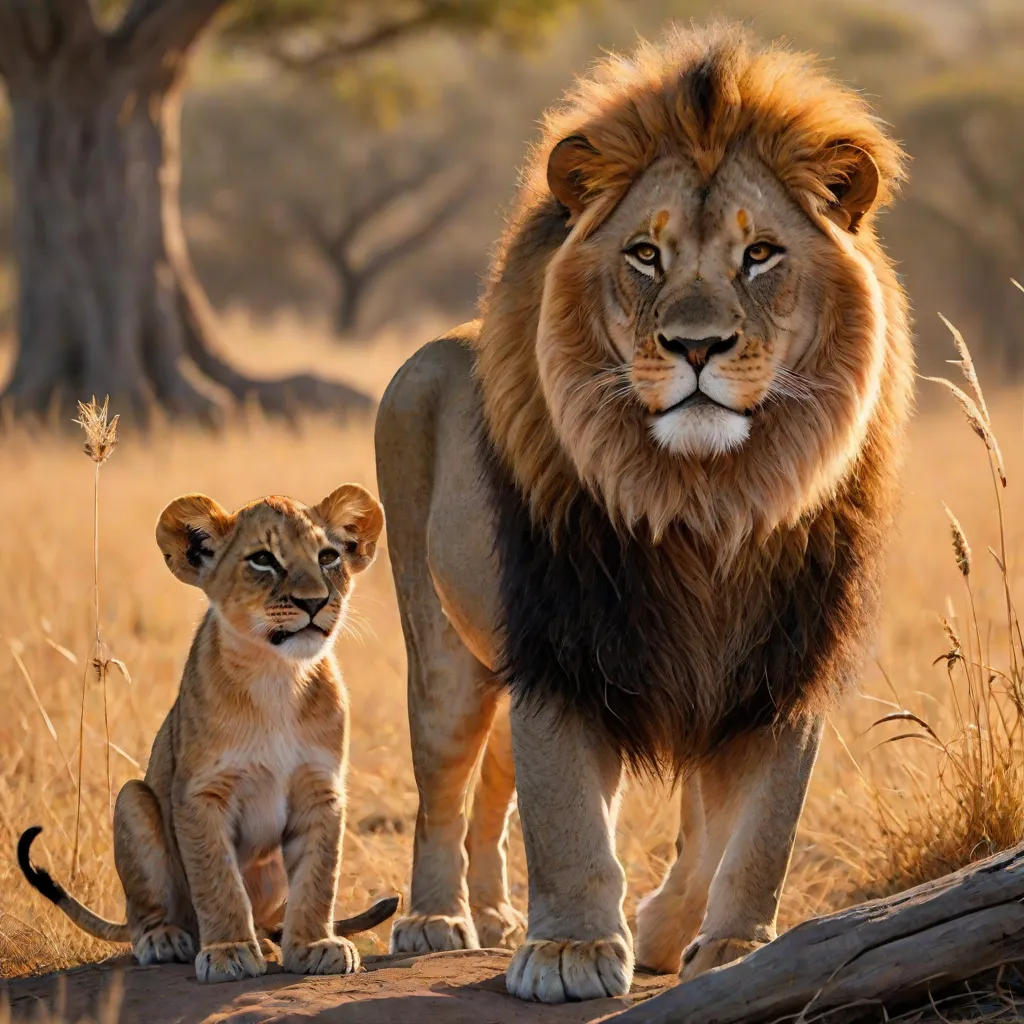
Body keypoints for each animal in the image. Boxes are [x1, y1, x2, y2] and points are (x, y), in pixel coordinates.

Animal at [18, 485, 397, 983]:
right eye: (263, 560)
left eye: (329, 556)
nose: (315, 601)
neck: (277, 676)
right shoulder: (200, 793)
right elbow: (218, 881)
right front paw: (229, 951)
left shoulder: (321, 789)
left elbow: (318, 877)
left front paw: (314, 946)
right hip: (132, 800)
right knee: (145, 914)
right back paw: (166, 940)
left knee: (270, 914)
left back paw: (270, 941)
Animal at [375, 23, 913, 1004]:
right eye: (645, 255)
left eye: (760, 254)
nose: (697, 346)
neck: (704, 501)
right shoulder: (561, 645)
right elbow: (565, 817)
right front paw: (571, 951)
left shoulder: (777, 664)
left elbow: (751, 833)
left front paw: (720, 946)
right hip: (441, 648)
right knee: (443, 780)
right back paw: (438, 921)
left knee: (494, 789)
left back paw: (498, 912)